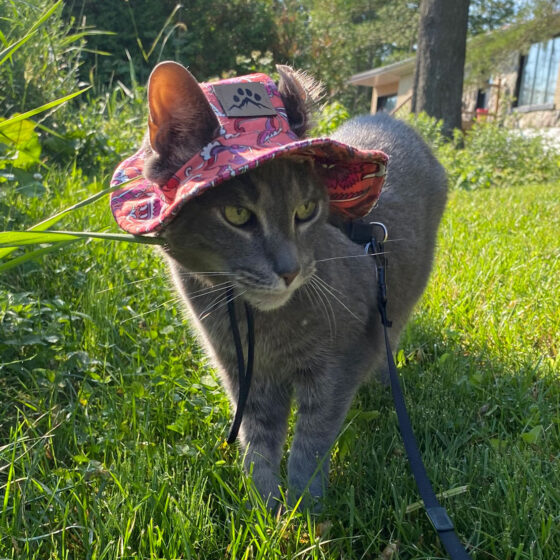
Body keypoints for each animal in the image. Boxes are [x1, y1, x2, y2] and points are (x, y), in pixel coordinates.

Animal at [143, 63, 446, 506]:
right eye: (237, 215)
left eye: (306, 210)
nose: (289, 270)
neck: (256, 322)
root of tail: (393, 119)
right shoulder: (242, 372)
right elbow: (257, 439)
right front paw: (264, 505)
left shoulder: (338, 362)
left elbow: (312, 441)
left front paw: (306, 508)